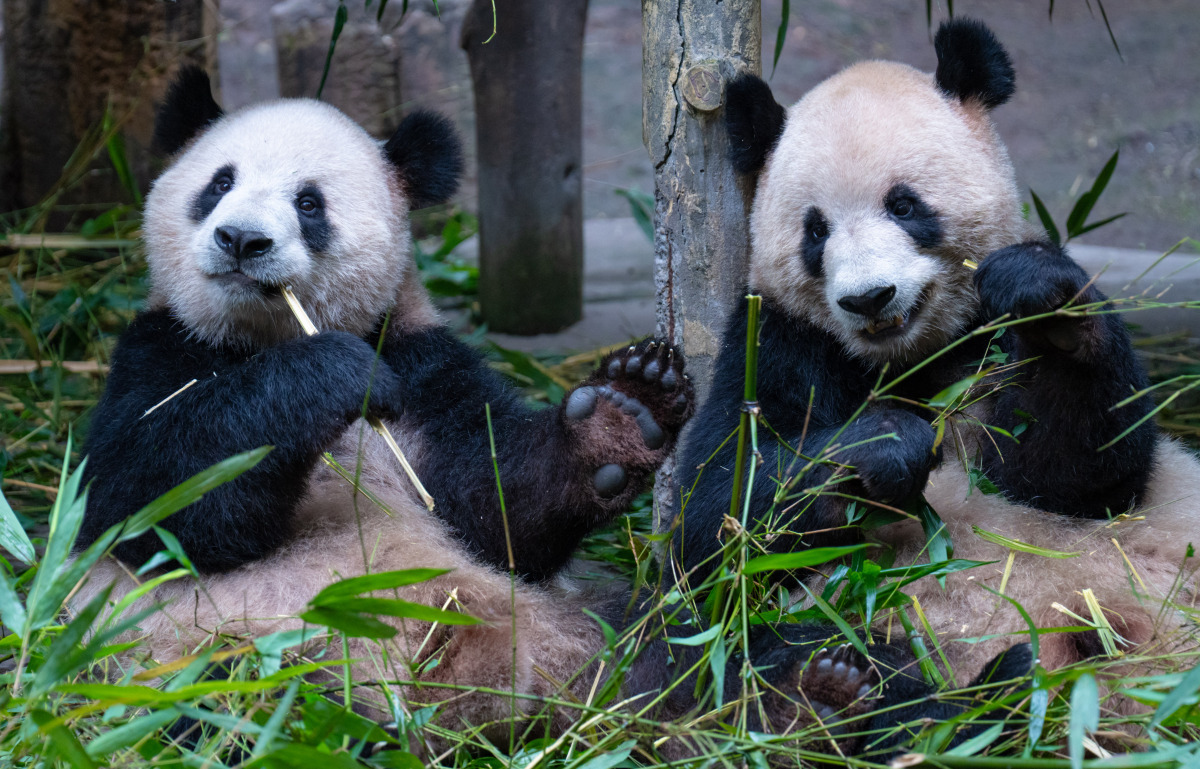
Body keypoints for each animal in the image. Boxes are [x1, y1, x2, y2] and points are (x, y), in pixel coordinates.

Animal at [65, 65, 1022, 758]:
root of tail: (476, 713)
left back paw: (812, 703)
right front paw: (324, 376)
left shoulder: (426, 366)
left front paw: (627, 409)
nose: (241, 240)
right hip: (193, 667)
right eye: (216, 183)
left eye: (309, 201)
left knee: (715, 653)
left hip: (596, 639)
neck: (258, 336)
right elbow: (158, 506)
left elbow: (496, 511)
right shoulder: (159, 353)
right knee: (220, 716)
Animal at [676, 17, 1200, 710]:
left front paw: (1050, 308)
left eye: (904, 205)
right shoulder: (779, 340)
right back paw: (874, 688)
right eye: (816, 231)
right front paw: (885, 444)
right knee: (756, 650)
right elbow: (713, 518)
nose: (869, 298)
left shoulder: (986, 343)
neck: (906, 356)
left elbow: (1080, 479)